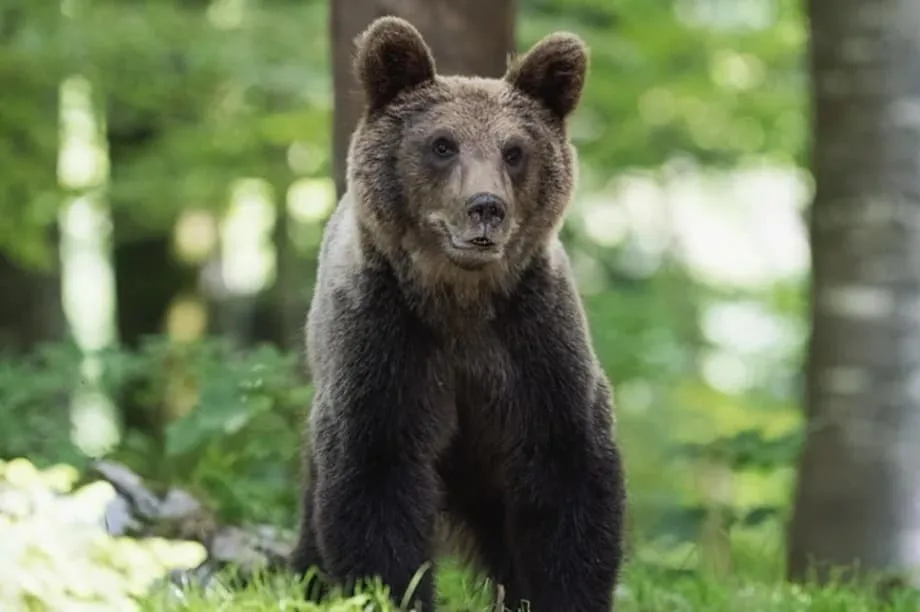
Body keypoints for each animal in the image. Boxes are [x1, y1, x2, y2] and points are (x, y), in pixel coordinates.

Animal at [289, 16, 627, 612]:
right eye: (442, 144)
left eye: (514, 150)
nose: (485, 207)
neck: (461, 301)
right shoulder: (386, 345)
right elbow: (376, 481)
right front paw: (392, 590)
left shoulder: (534, 345)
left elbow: (569, 477)